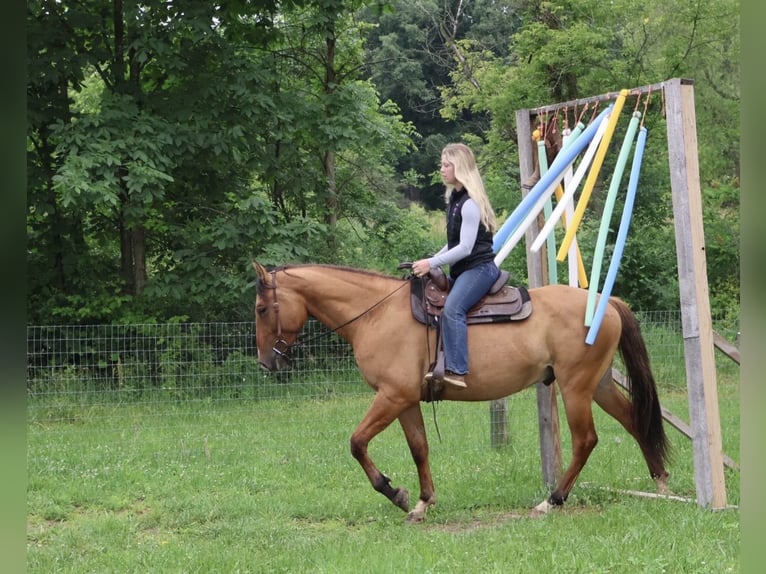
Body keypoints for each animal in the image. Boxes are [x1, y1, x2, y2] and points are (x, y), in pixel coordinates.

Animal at [252, 261, 670, 523]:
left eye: (261, 309)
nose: (266, 363)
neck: (376, 313)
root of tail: (606, 302)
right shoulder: (405, 401)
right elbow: (419, 448)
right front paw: (421, 503)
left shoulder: (391, 396)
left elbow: (357, 443)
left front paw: (394, 492)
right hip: (599, 384)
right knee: (635, 421)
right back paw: (661, 483)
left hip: (576, 387)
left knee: (586, 440)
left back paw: (551, 501)